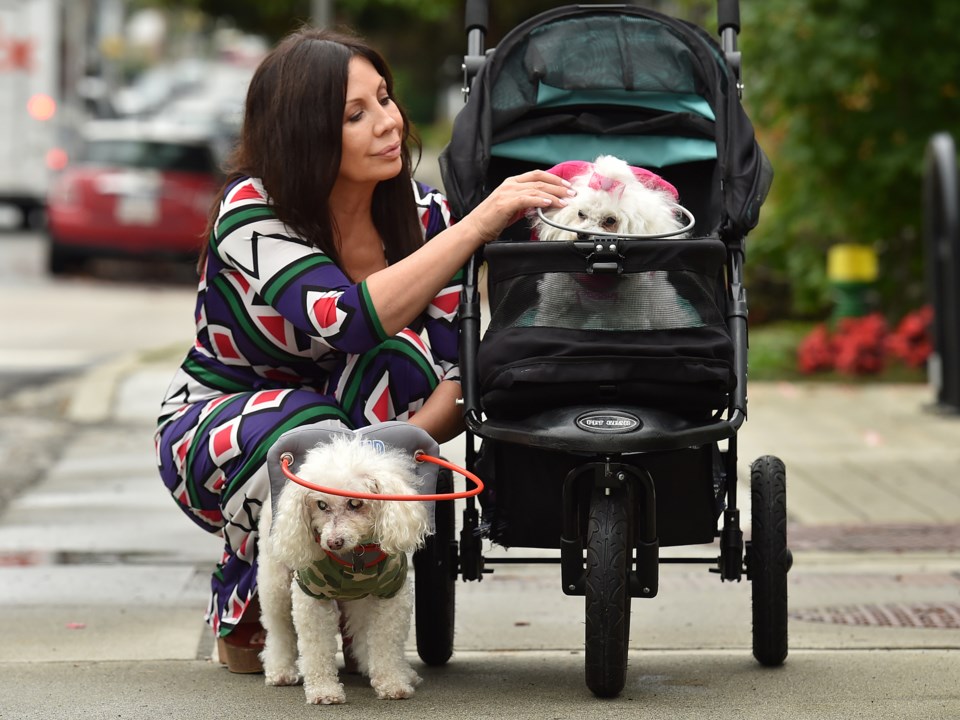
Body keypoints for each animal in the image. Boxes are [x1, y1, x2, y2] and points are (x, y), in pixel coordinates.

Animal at [258, 436, 432, 704]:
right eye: (321, 504)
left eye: (355, 503)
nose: (333, 542)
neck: (354, 557)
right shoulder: (312, 597)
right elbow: (317, 647)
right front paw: (323, 691)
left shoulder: (392, 595)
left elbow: (386, 642)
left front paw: (393, 682)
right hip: (275, 582)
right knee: (279, 627)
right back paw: (281, 670)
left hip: (359, 598)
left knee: (361, 630)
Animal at [532, 156, 696, 330]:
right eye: (581, 214)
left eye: (610, 220)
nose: (581, 234)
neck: (599, 276)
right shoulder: (560, 306)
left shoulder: (628, 315)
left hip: (659, 304)